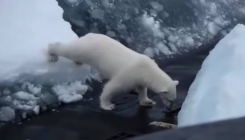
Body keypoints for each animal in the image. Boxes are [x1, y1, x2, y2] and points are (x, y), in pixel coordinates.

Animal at [45, 32, 178, 110]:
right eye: (170, 100)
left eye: (173, 99)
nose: (170, 109)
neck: (147, 70)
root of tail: (88, 35)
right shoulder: (129, 75)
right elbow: (112, 87)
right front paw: (107, 105)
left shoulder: (139, 78)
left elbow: (141, 89)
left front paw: (147, 101)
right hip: (87, 49)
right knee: (70, 50)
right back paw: (52, 53)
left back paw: (77, 61)